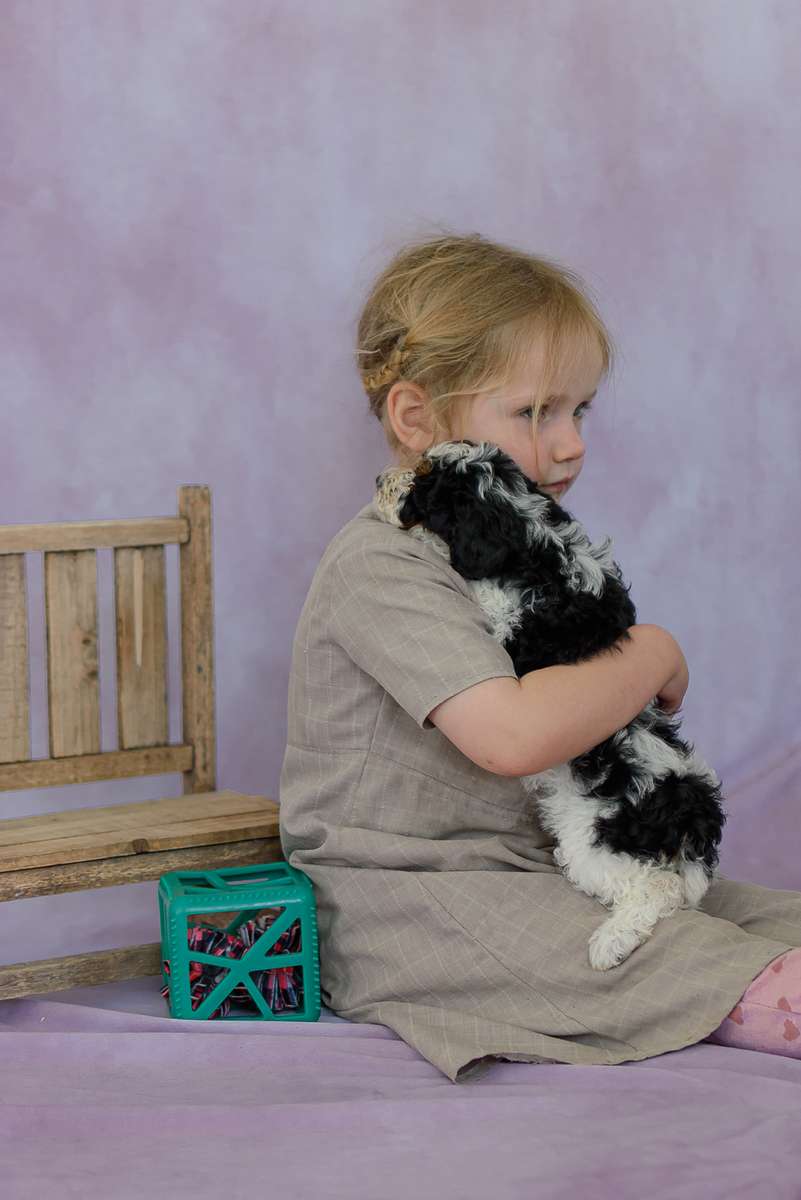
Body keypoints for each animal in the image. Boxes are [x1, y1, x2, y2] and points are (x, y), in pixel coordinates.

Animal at [376, 441, 724, 974]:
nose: (379, 480)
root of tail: (690, 809)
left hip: (593, 836)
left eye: (422, 485)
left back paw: (610, 943)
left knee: (657, 886)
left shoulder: (509, 629)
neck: (530, 544)